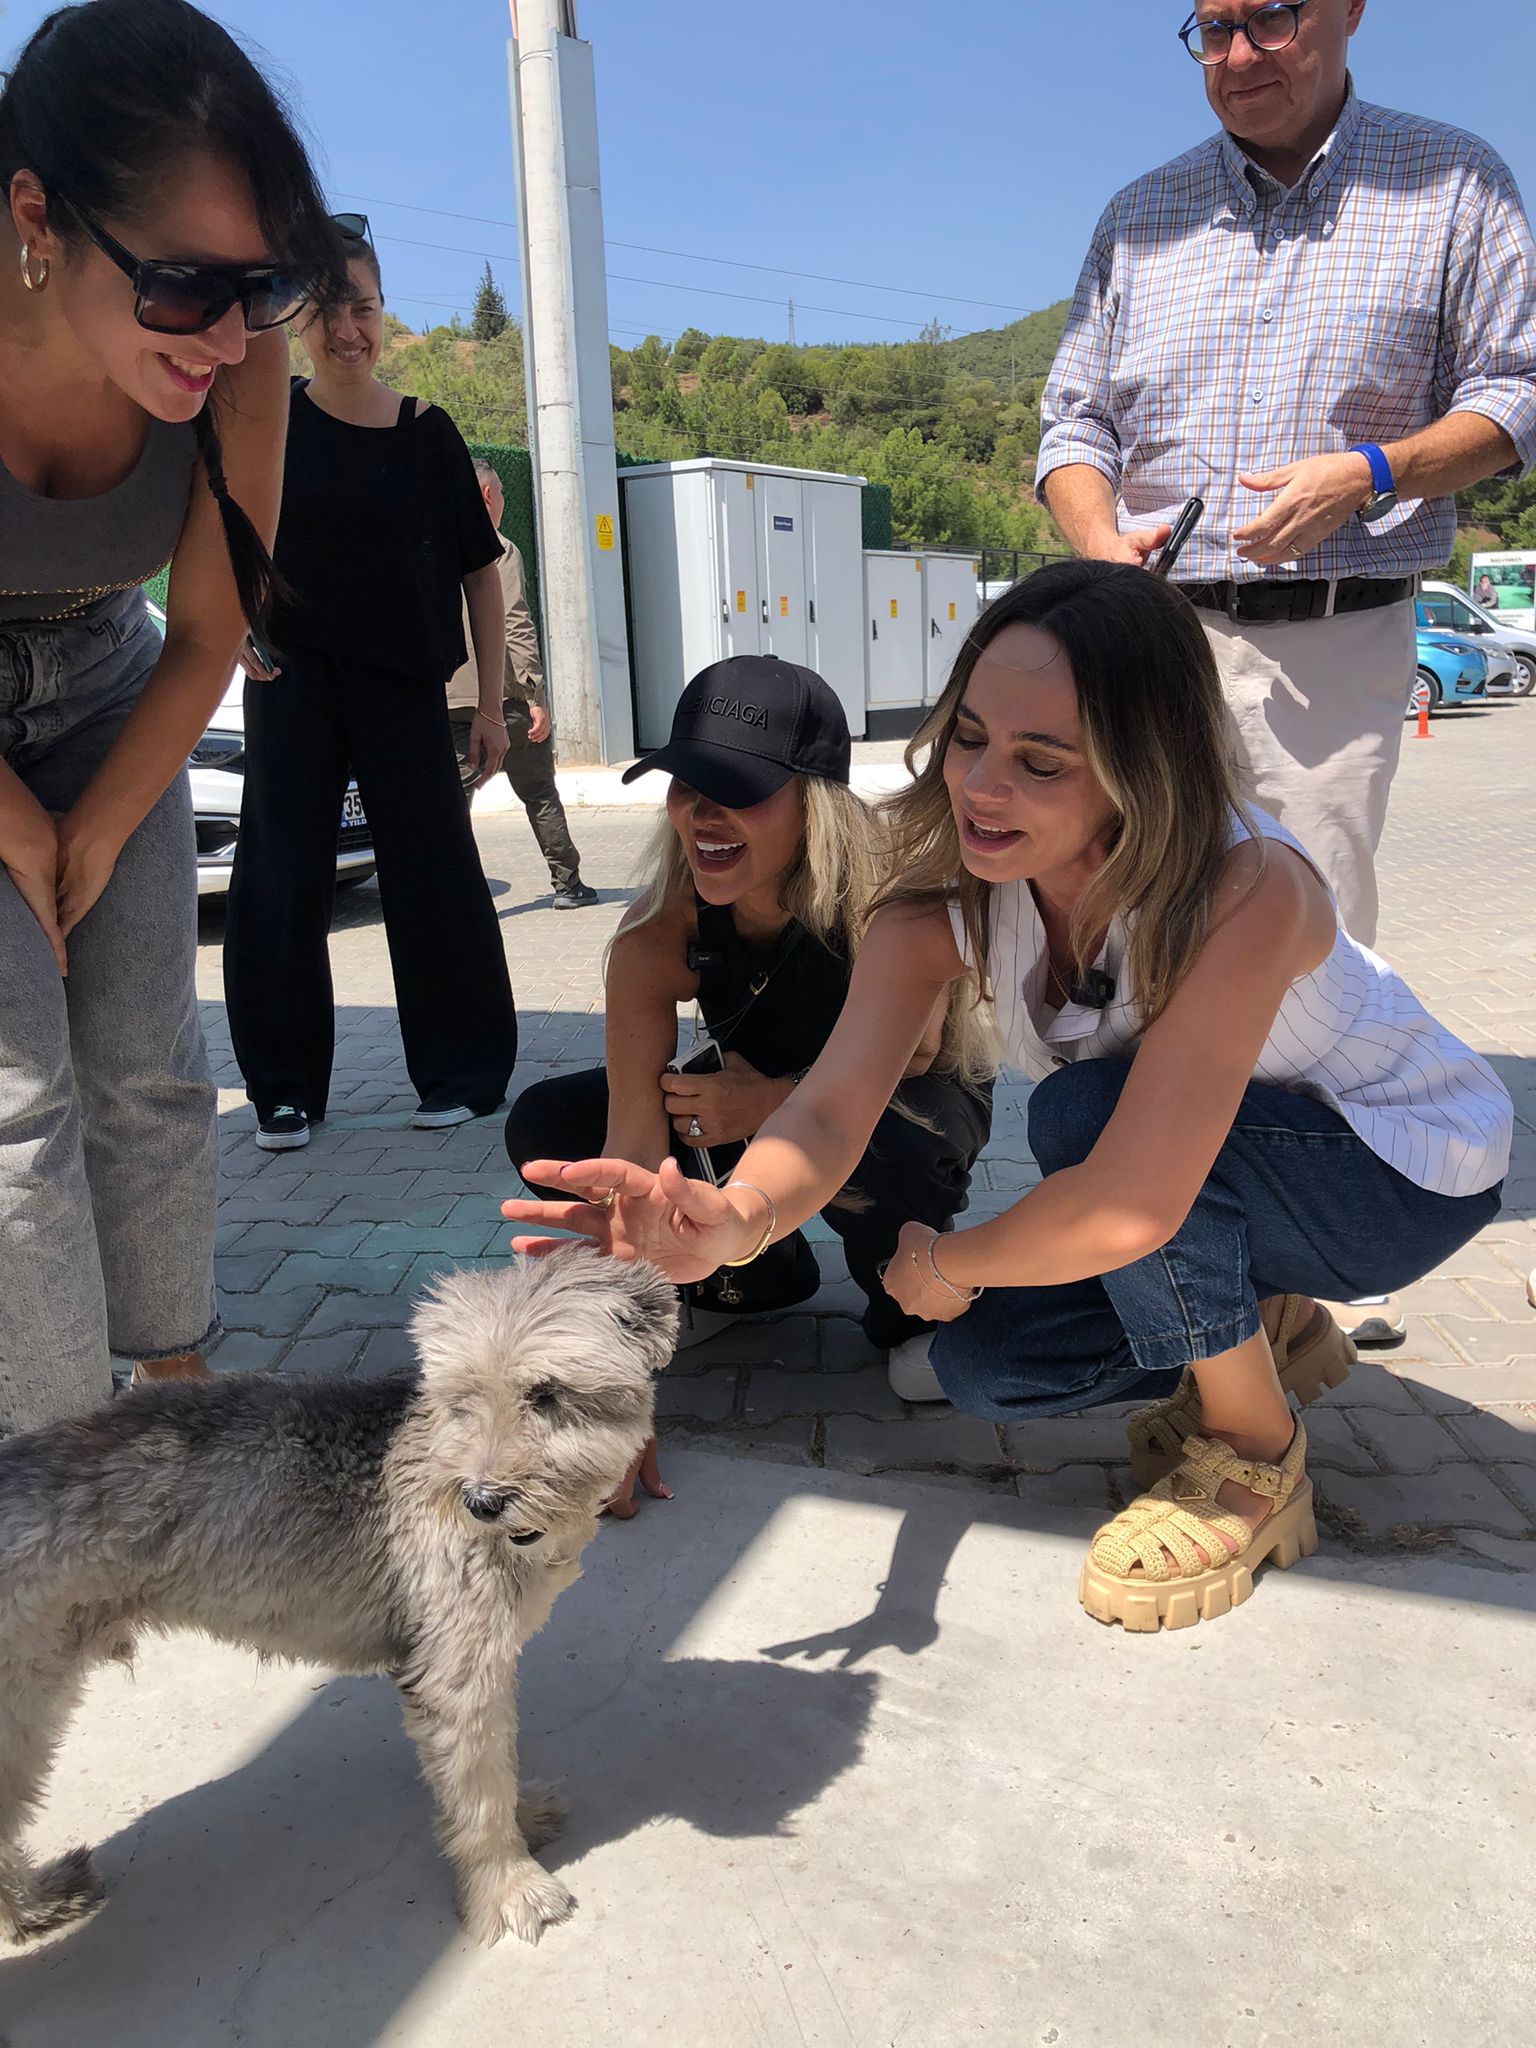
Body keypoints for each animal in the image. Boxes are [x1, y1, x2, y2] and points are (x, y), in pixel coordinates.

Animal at [0, 1245, 679, 1949]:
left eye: (546, 1396)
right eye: (460, 1401)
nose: (480, 1501)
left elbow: (499, 1757)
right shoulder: (455, 1673)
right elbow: (480, 1788)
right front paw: (508, 1885)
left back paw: (35, 1903)